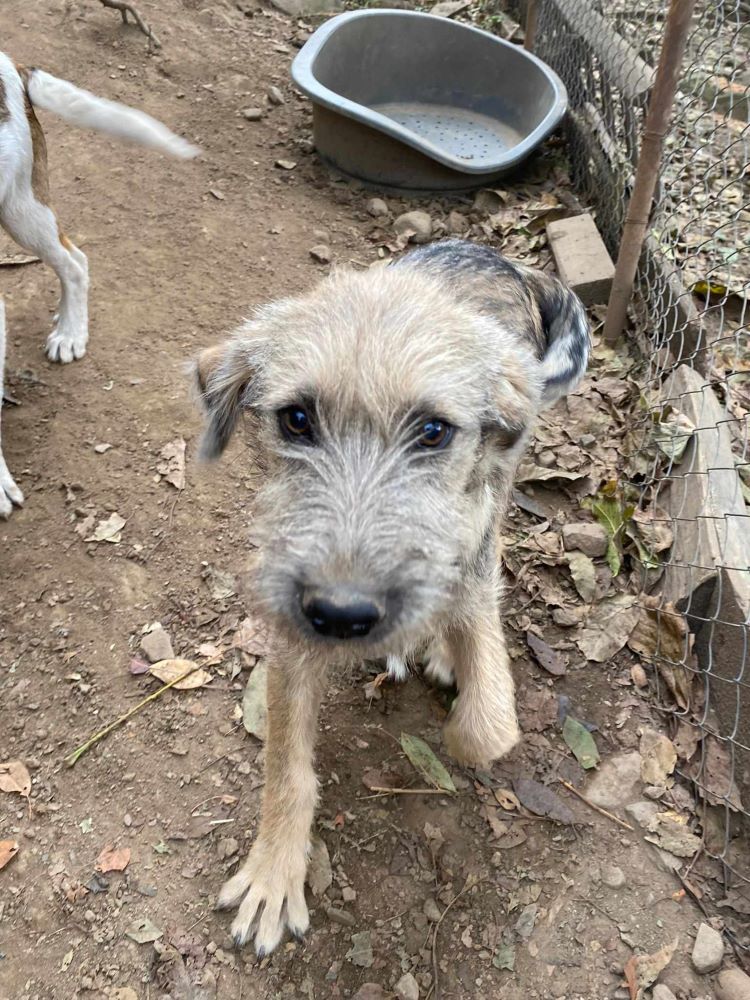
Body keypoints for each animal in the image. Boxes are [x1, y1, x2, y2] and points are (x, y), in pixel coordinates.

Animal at [195, 238, 592, 948]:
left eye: (433, 432)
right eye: (297, 420)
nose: (343, 613)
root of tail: (503, 258)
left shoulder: (473, 571)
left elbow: (487, 727)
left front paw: (451, 674)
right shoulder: (292, 636)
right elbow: (286, 767)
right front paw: (274, 874)